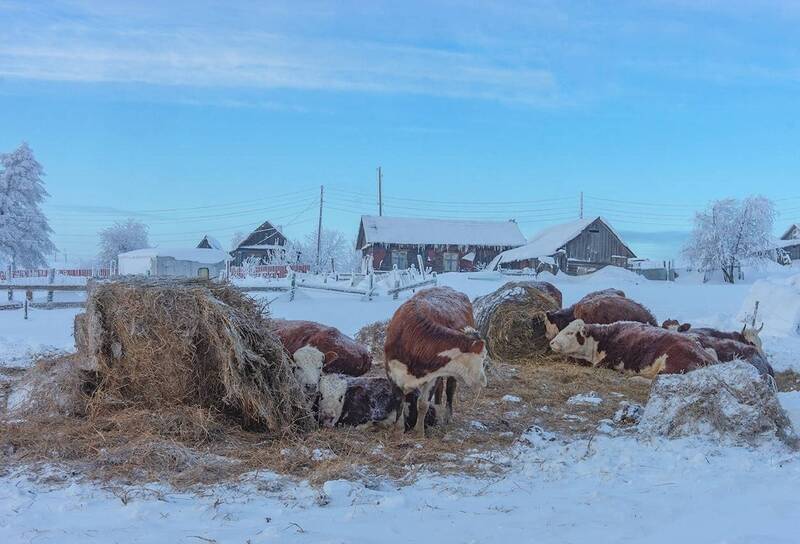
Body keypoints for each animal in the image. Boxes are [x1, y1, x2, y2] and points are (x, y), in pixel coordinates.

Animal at [384, 287, 487, 436]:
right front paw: (399, 429)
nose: (484, 381)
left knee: (449, 390)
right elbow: (400, 401)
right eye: (484, 356)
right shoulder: (391, 371)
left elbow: (423, 403)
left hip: (449, 376)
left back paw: (447, 417)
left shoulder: (433, 376)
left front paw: (419, 432)